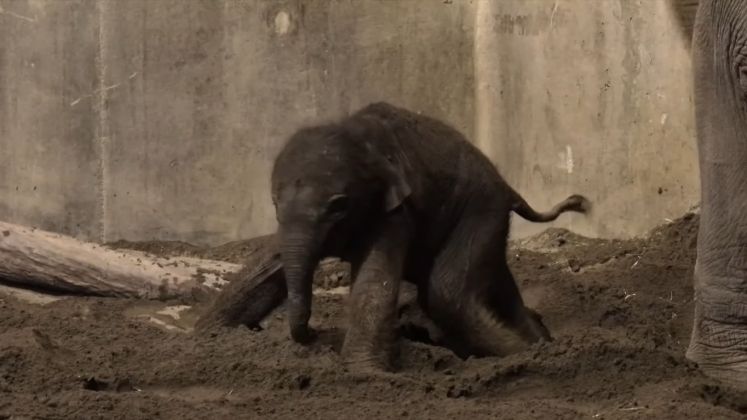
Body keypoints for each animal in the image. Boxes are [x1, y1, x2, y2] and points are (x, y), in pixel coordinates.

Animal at [272, 101, 592, 370]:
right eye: (275, 203)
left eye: (338, 207)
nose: (312, 333)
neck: (355, 132)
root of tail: (508, 186)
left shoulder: (396, 211)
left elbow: (375, 281)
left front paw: (362, 373)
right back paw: (539, 341)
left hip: (482, 209)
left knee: (446, 291)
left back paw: (528, 352)